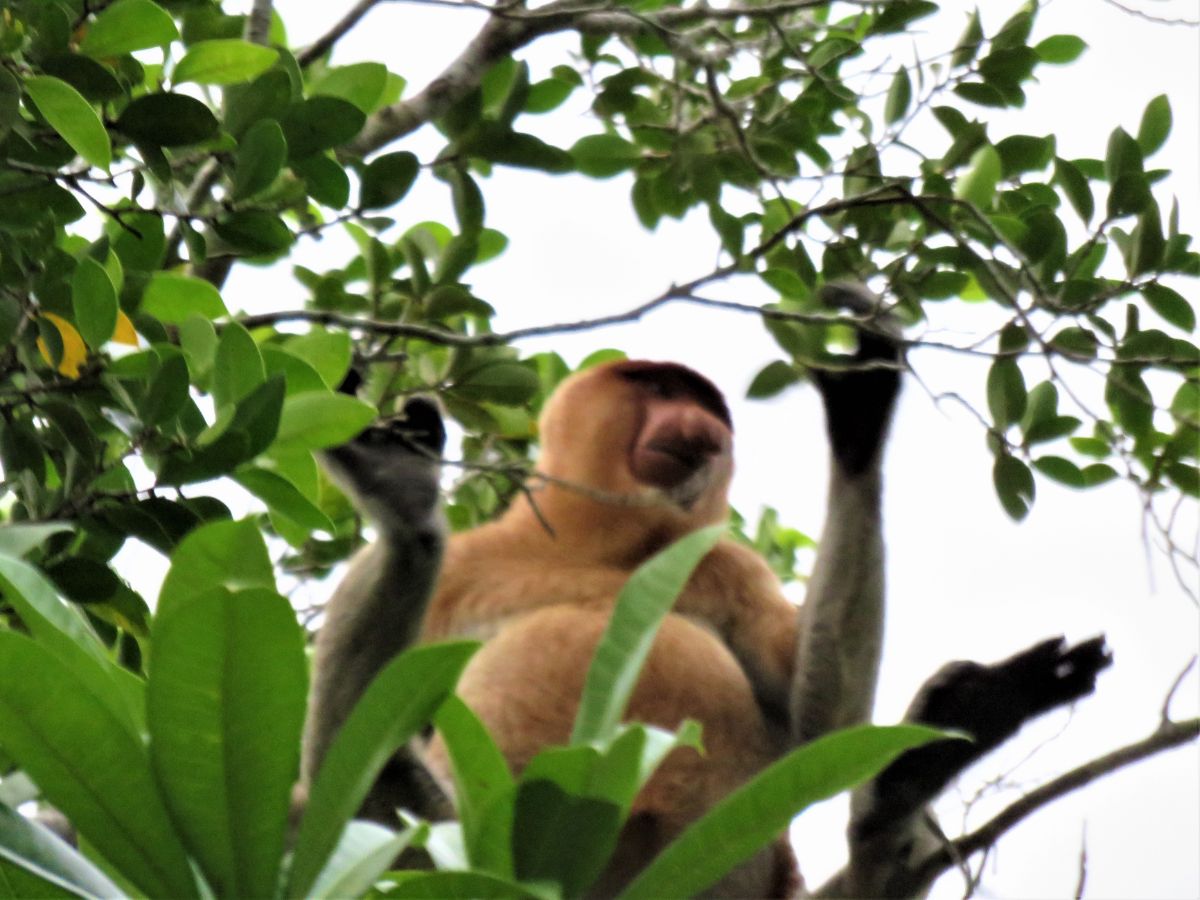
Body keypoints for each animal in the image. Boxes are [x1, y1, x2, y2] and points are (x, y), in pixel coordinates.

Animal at [304, 285, 902, 897]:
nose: (704, 431)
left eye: (709, 409)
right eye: (661, 389)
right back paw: (407, 507)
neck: (599, 547)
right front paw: (394, 479)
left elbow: (826, 724)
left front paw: (865, 394)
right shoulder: (464, 568)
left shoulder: (734, 569)